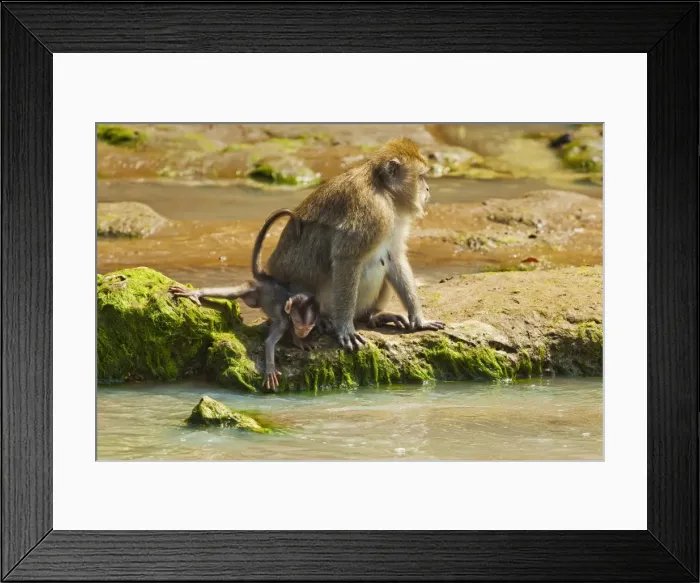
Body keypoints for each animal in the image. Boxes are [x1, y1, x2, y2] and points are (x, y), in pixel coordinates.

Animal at [169, 209, 319, 391]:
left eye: (308, 327)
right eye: (299, 325)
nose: (302, 332)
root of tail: (266, 278)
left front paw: (300, 341)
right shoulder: (284, 321)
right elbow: (269, 342)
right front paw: (271, 369)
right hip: (253, 289)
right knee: (233, 293)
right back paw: (196, 293)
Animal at [265, 137, 445, 352]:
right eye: (421, 177)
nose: (427, 189)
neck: (384, 190)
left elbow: (395, 257)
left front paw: (419, 320)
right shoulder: (373, 210)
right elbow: (347, 259)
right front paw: (345, 328)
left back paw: (373, 316)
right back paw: (323, 320)